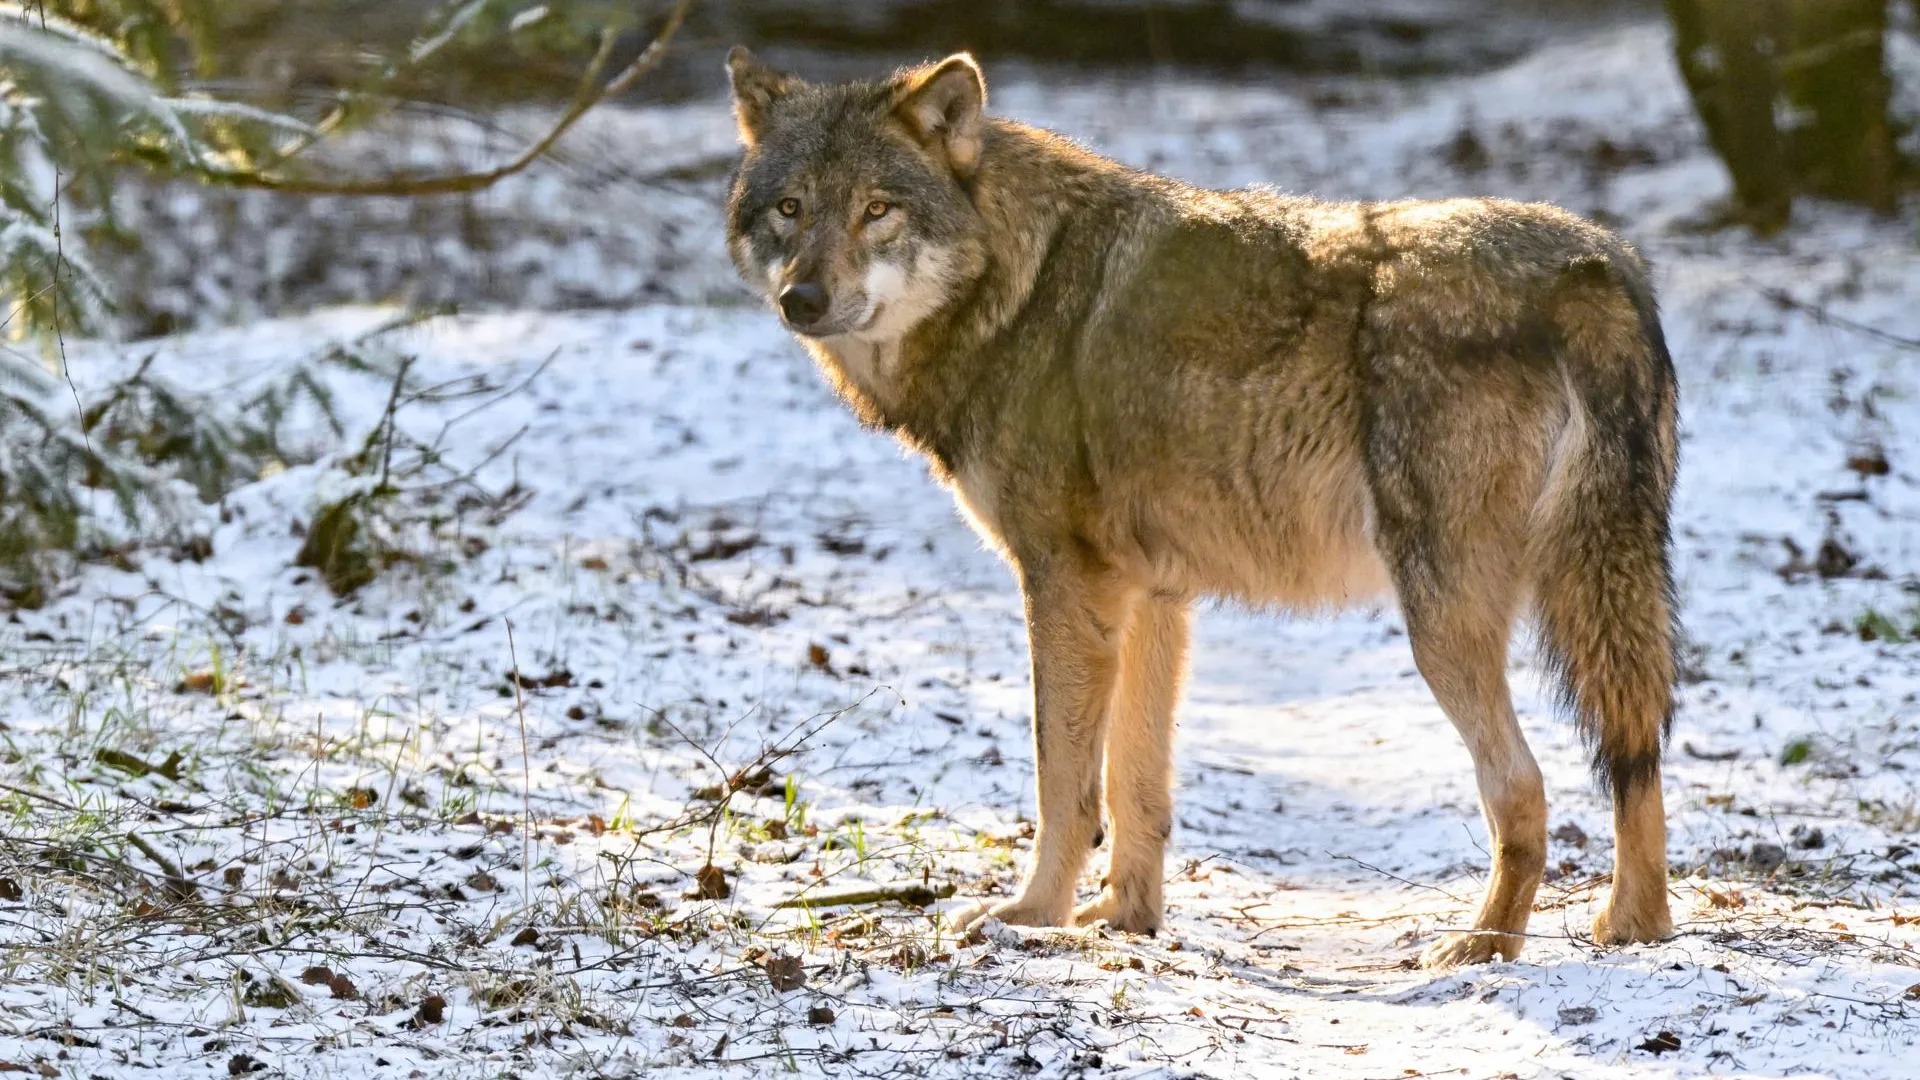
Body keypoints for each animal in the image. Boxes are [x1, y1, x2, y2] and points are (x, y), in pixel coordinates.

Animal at [721, 46, 1681, 960]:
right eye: (792, 209)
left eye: (878, 210)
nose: (801, 298)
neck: (1016, 287)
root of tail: (1591, 263)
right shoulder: (1152, 597)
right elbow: (1135, 786)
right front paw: (1124, 918)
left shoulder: (1063, 585)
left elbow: (1064, 782)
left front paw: (1032, 918)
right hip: (1591, 593)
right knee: (1636, 756)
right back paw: (1633, 929)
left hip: (1443, 620)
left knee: (1524, 789)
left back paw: (1481, 946)